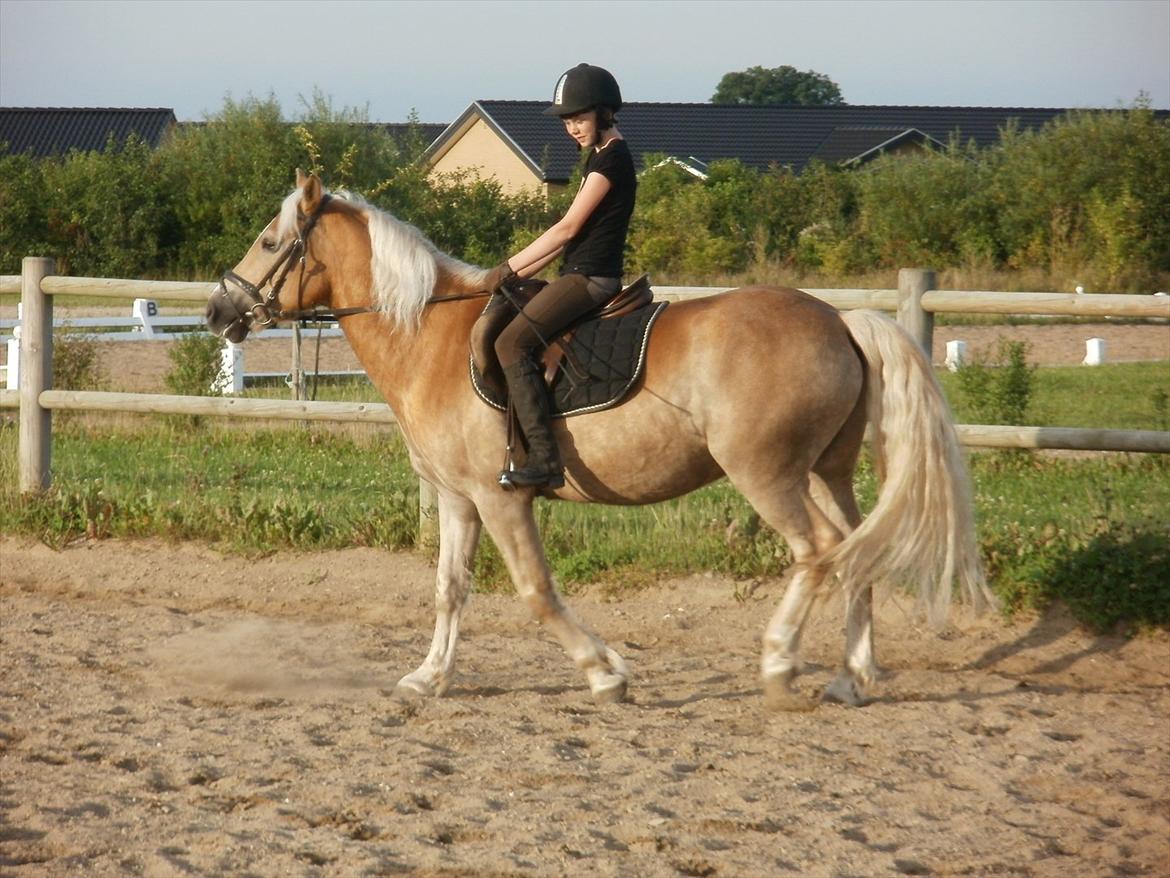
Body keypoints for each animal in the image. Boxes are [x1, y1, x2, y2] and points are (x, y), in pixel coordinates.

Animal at [205, 173, 992, 716]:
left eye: (271, 243)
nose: (218, 310)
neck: (431, 339)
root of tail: (839, 320)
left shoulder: (502, 499)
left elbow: (535, 590)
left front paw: (606, 673)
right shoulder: (459, 500)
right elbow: (449, 589)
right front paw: (428, 678)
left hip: (768, 475)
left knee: (821, 551)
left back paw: (778, 665)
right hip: (826, 471)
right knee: (859, 550)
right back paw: (848, 679)